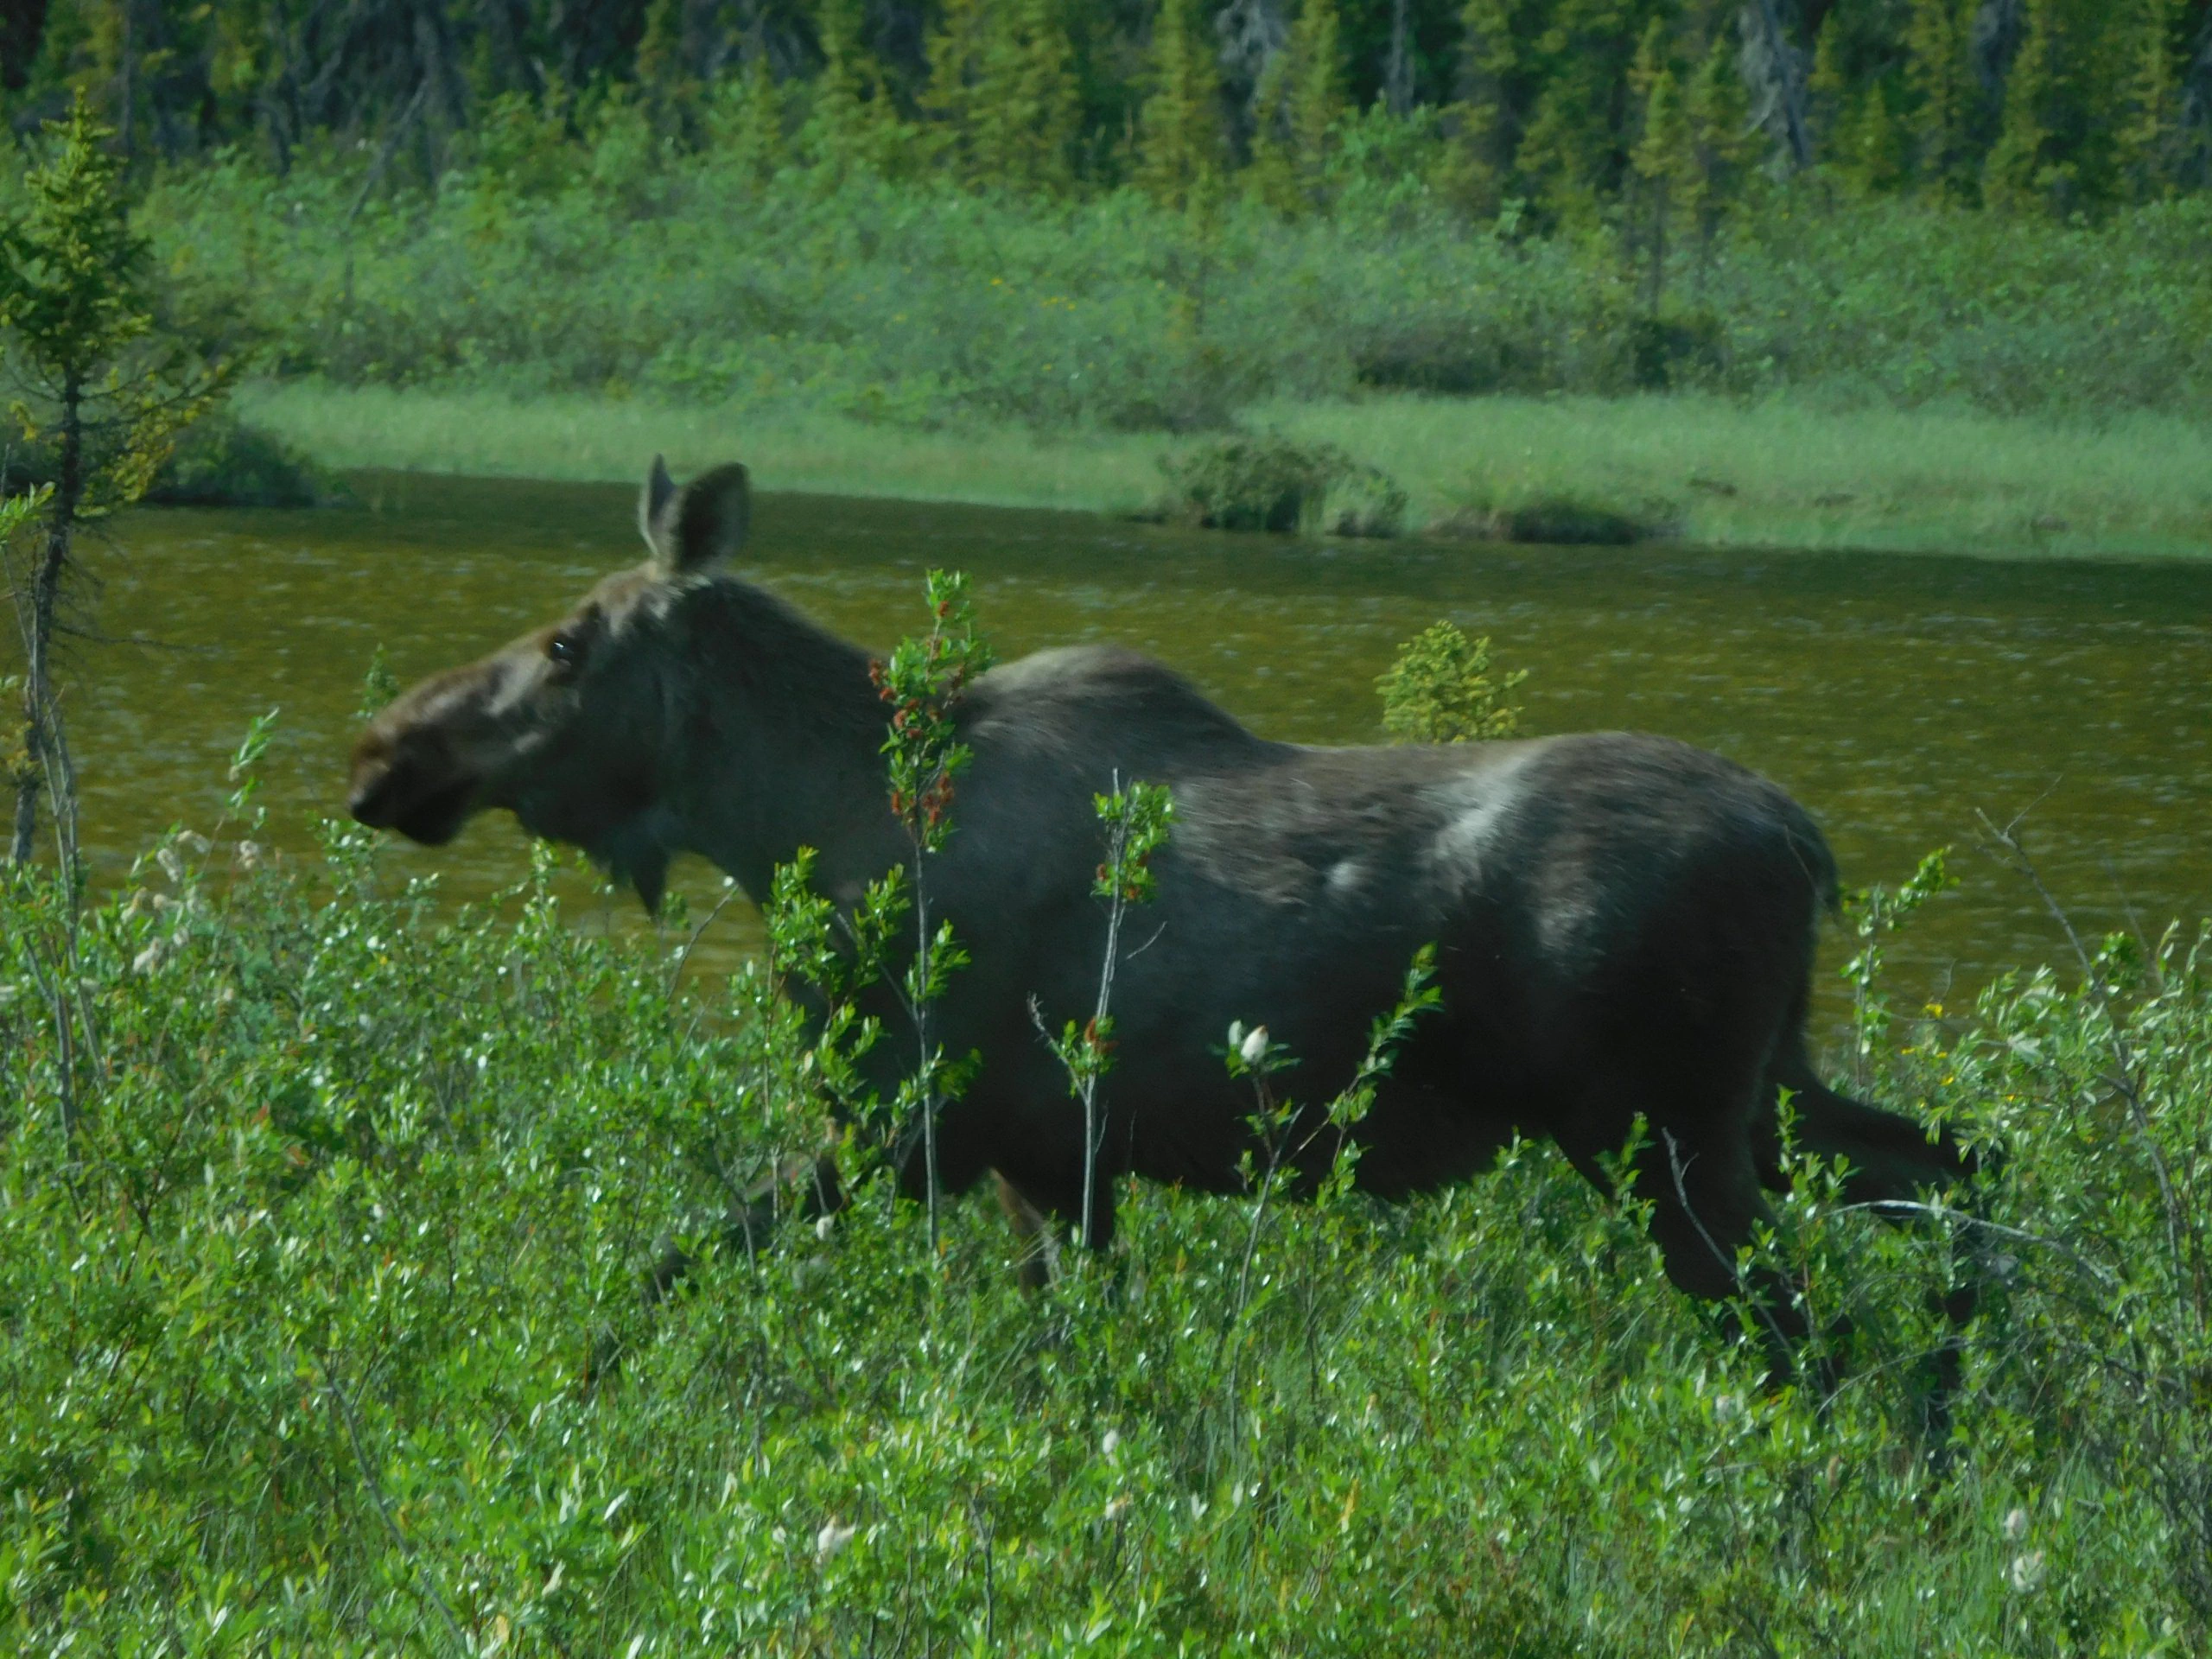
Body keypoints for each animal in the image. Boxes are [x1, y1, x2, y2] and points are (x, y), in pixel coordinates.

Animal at [353, 462, 1981, 1344]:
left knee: (1810, 1331)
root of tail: (1808, 843)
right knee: (1961, 1169)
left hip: (1668, 1138)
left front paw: (568, 1375)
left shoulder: (913, 1122)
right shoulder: (1045, 1159)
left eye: (566, 643)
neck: (798, 828)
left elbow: (666, 1264)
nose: (384, 750)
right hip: (1766, 1099)